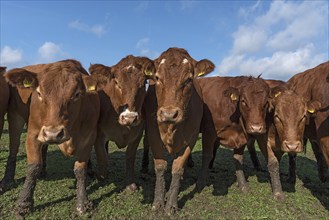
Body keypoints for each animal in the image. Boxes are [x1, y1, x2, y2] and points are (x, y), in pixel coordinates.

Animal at [3, 59, 101, 216]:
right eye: (39, 93)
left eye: (77, 94)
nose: (53, 133)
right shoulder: (33, 133)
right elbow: (33, 167)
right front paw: (24, 203)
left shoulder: (90, 136)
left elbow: (80, 169)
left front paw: (82, 202)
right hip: (15, 116)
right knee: (13, 148)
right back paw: (7, 180)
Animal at [87, 55, 154, 191]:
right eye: (117, 83)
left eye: (143, 83)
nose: (129, 118)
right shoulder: (98, 134)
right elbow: (102, 157)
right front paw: (100, 177)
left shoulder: (137, 134)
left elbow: (130, 157)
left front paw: (130, 184)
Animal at [145, 47, 214, 215]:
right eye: (157, 77)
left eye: (188, 79)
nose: (169, 114)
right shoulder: (153, 134)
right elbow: (160, 166)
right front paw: (158, 202)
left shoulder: (191, 138)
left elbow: (177, 168)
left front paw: (171, 203)